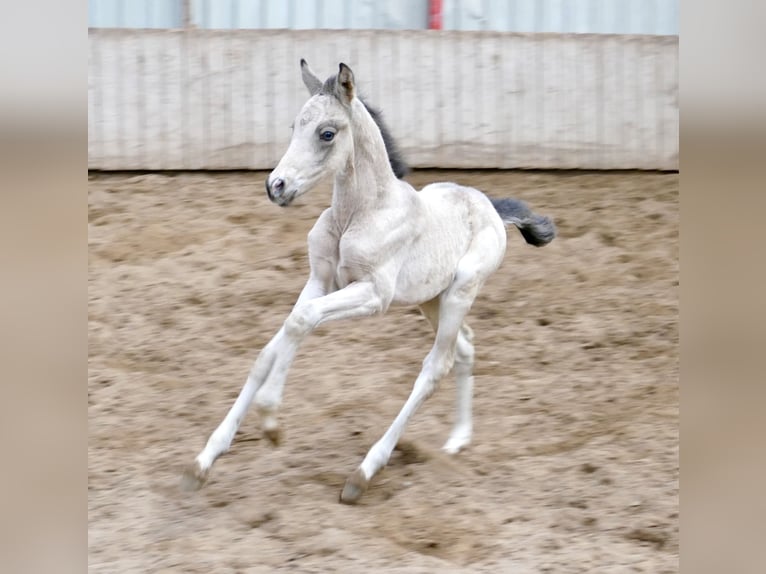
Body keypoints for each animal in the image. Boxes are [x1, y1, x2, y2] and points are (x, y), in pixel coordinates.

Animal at [182, 60, 556, 504]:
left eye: (327, 133)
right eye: (294, 126)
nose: (276, 186)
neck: (358, 215)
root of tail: (490, 207)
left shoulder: (373, 296)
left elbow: (302, 320)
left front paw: (271, 421)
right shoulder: (320, 279)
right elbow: (275, 345)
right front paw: (204, 461)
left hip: (461, 291)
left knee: (436, 366)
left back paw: (364, 473)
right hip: (431, 299)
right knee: (465, 346)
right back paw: (457, 440)